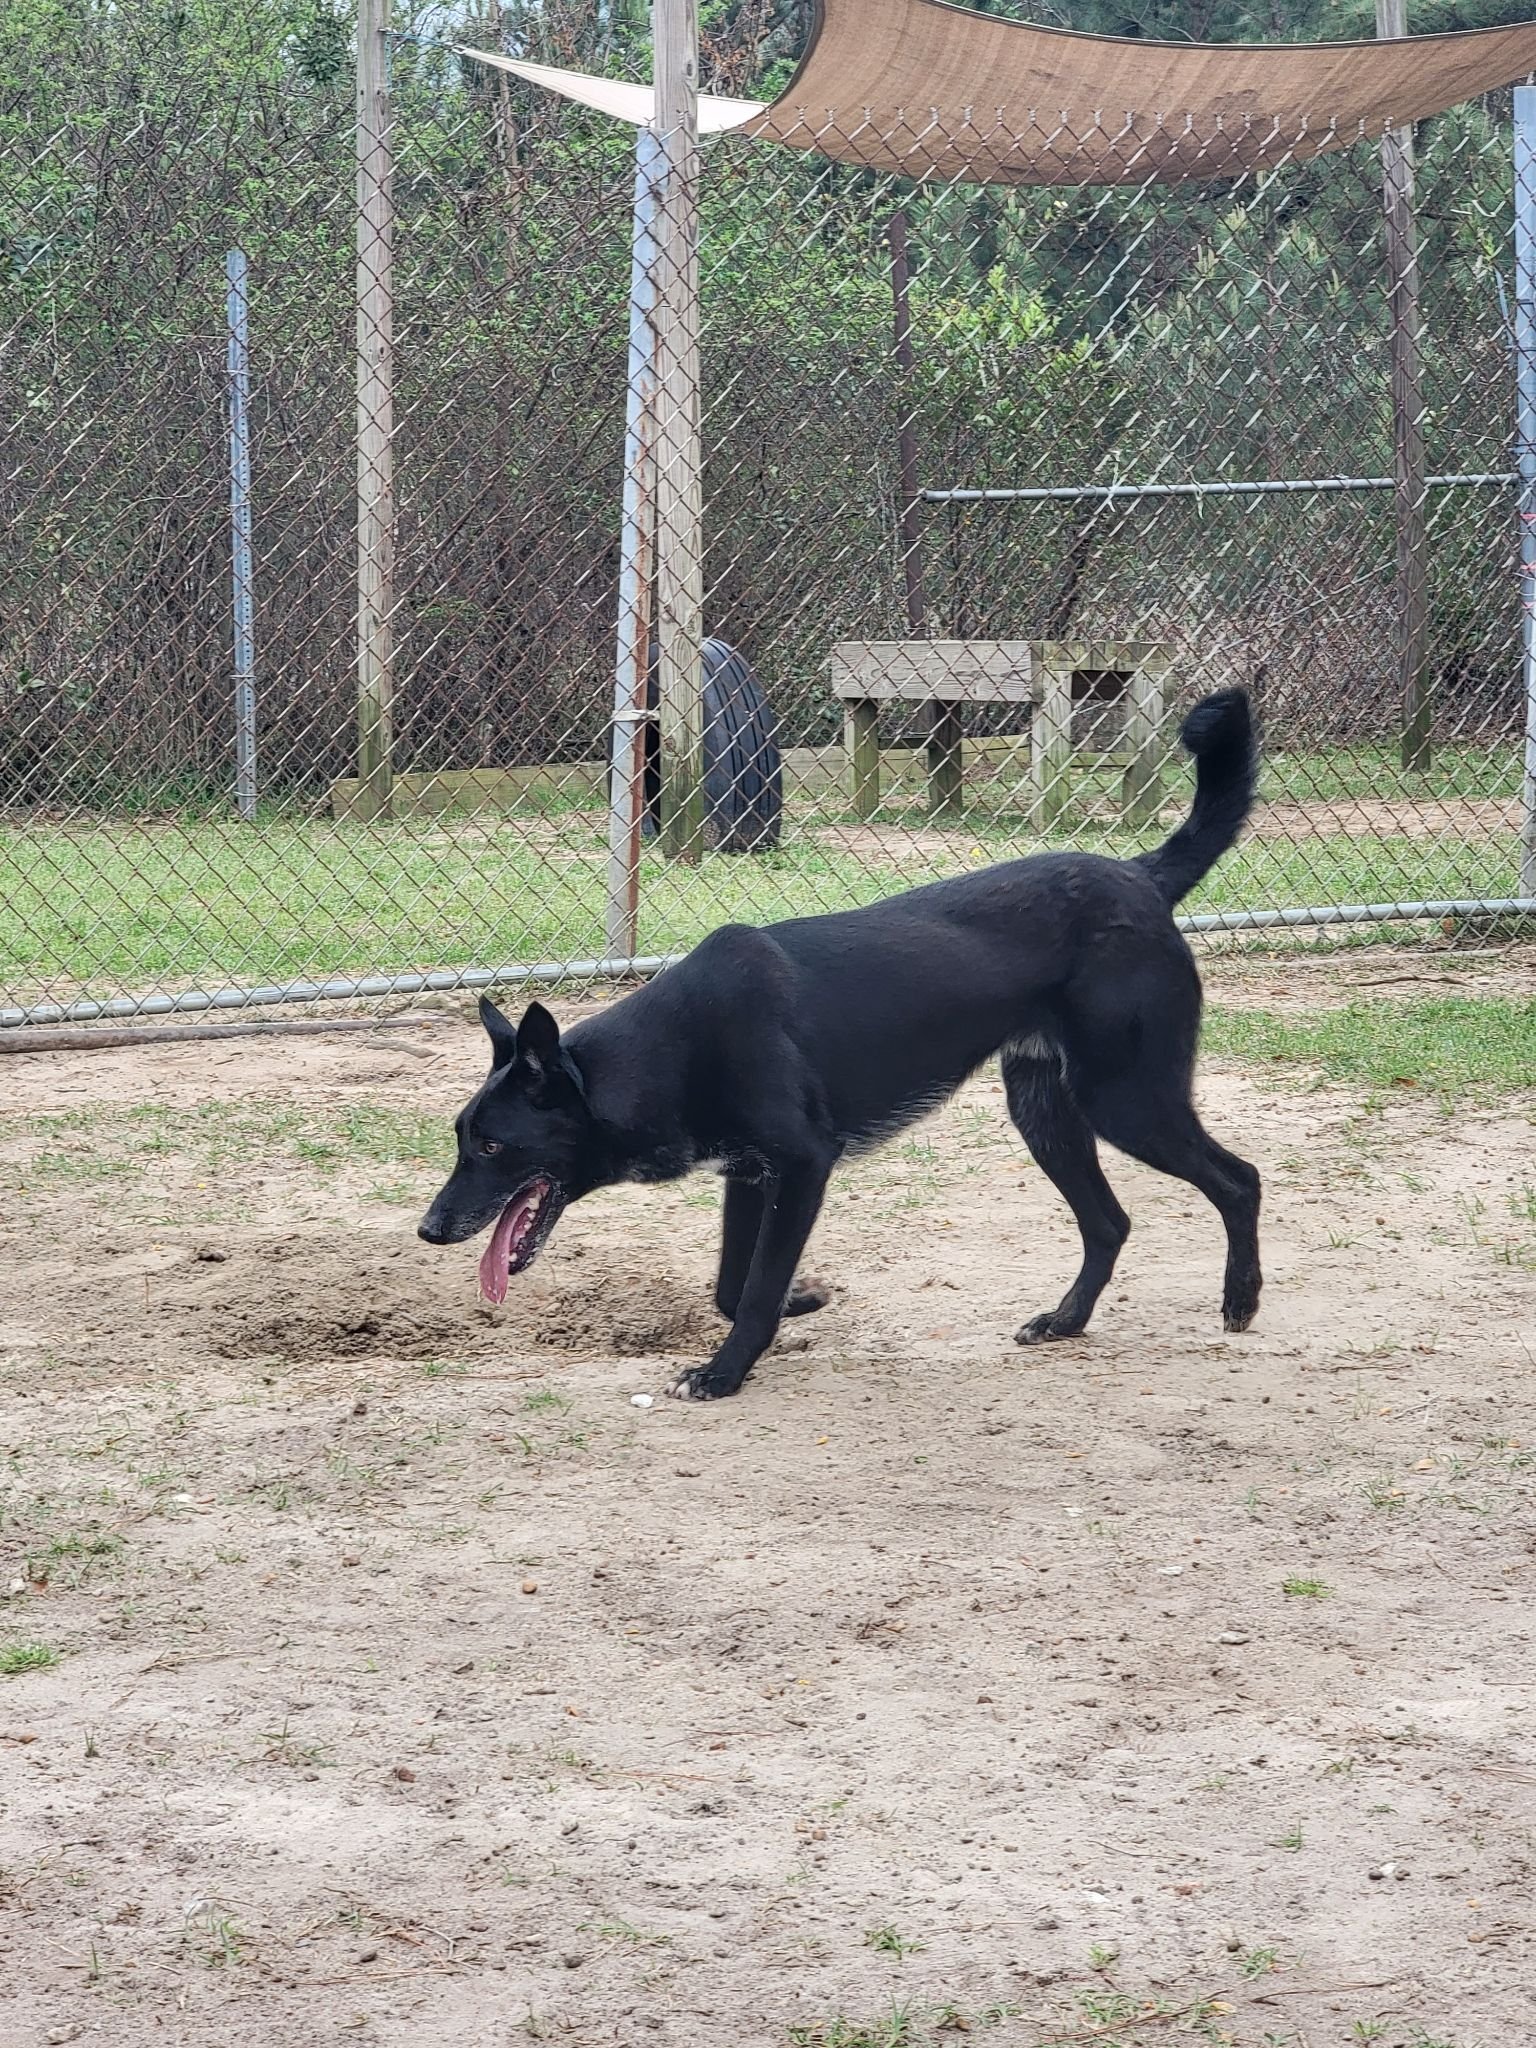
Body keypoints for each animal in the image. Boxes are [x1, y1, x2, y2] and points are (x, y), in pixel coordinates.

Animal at [421, 696, 1261, 1400]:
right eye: (460, 1141)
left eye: (491, 1147)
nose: (429, 1230)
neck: (667, 1052)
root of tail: (1141, 878)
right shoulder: (750, 1174)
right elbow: (732, 1286)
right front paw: (802, 1301)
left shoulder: (801, 1165)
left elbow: (754, 1291)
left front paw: (726, 1372)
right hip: (1046, 1113)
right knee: (1109, 1223)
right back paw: (1066, 1321)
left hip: (1126, 1100)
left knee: (1239, 1180)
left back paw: (1241, 1299)